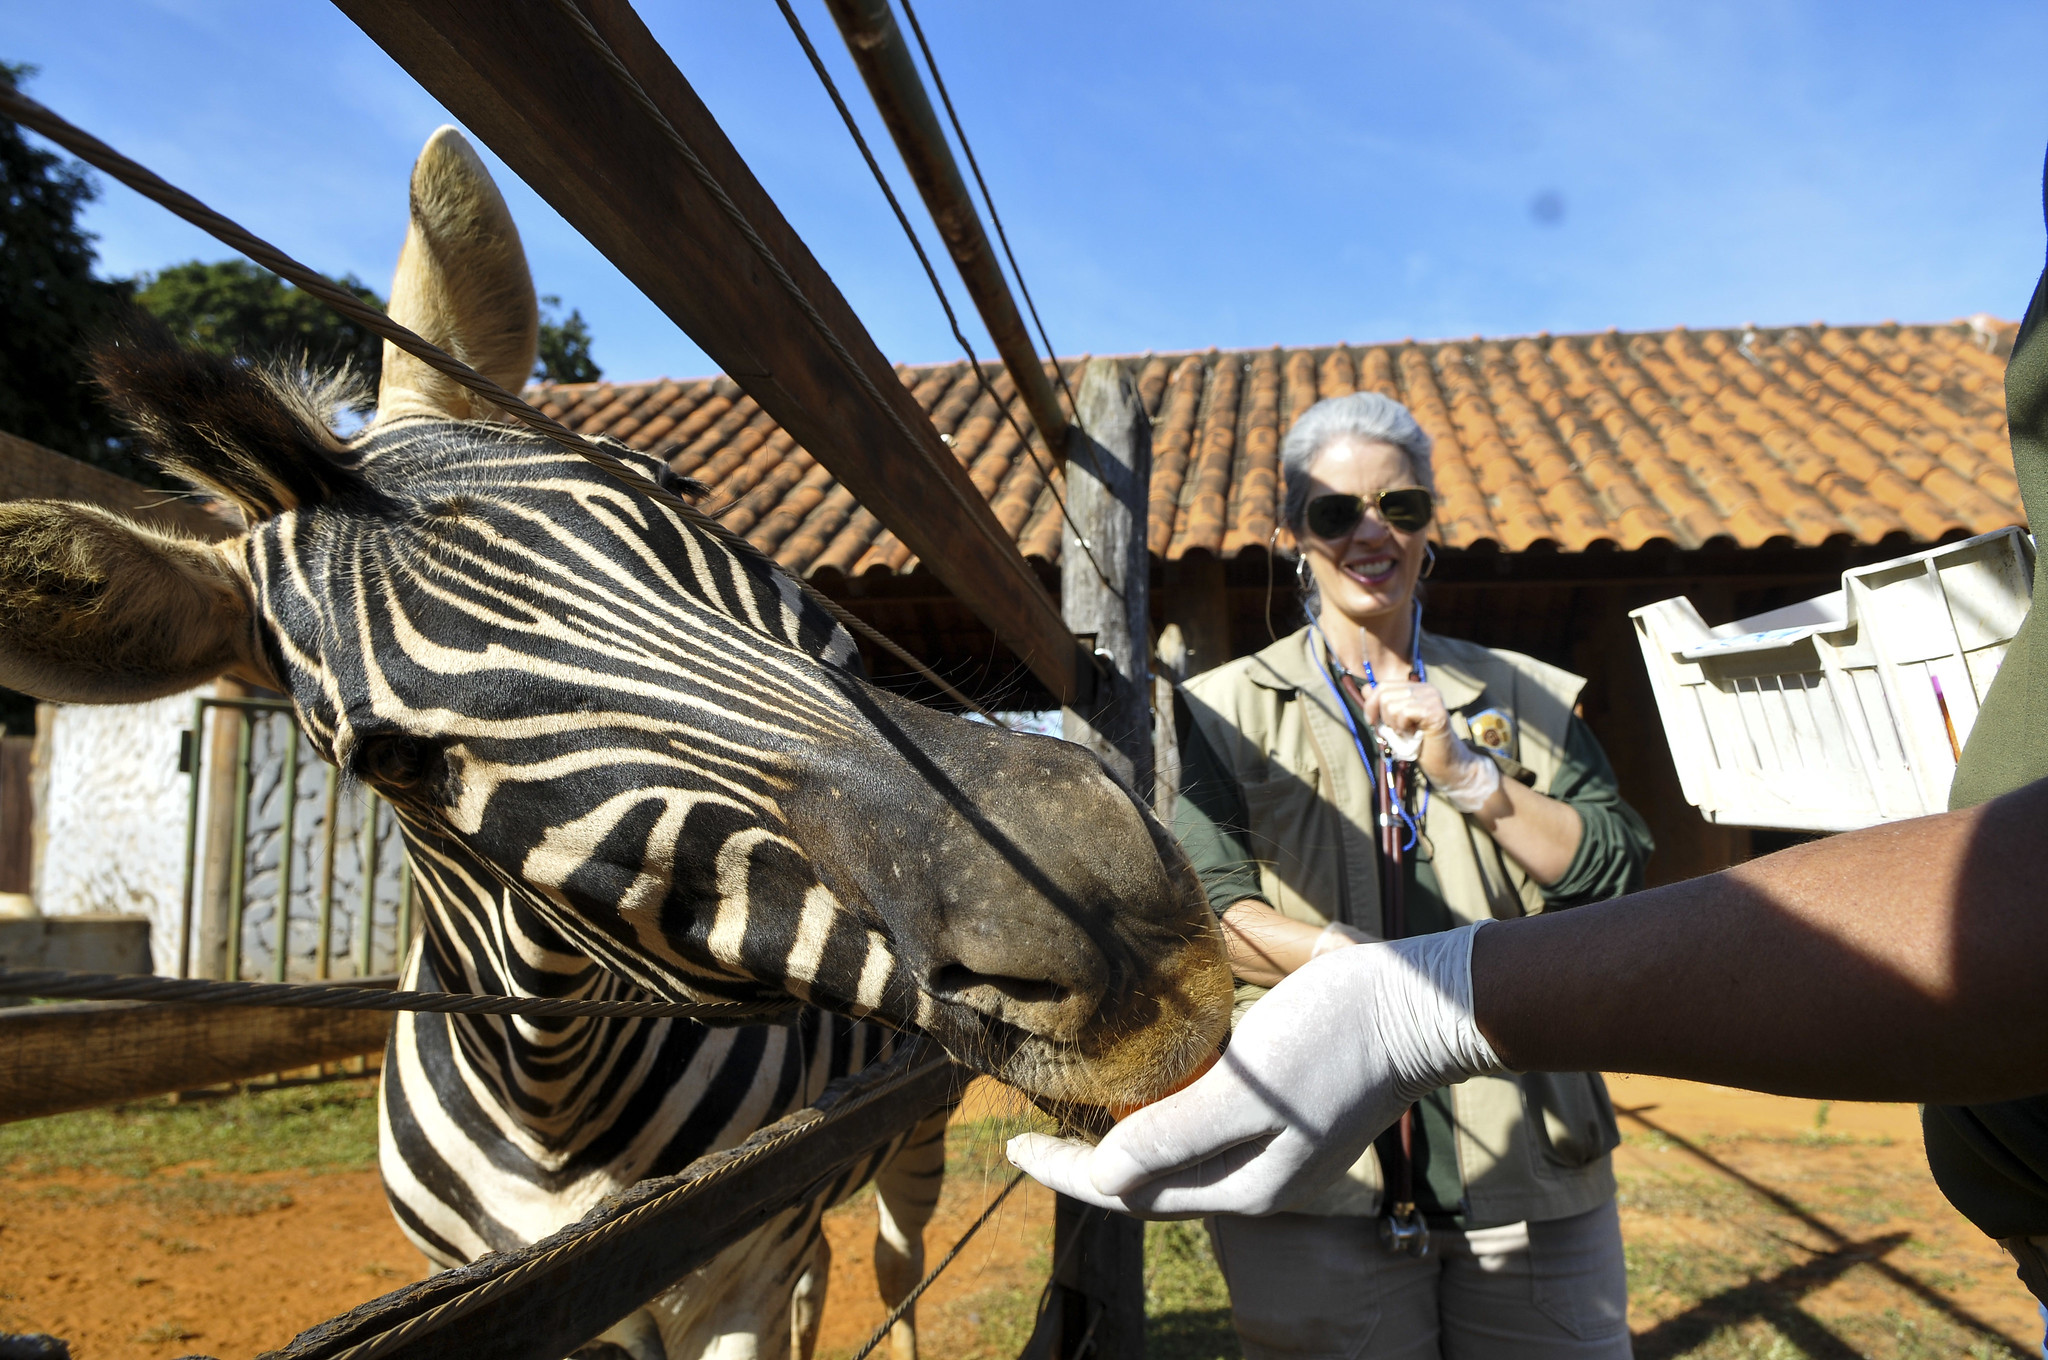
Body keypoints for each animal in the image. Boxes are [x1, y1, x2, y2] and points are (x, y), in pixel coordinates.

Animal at [0, 127, 1220, 1360]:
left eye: (668, 483)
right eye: (388, 761)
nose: (1126, 926)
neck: (552, 1102)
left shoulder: (737, 1268)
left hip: (908, 1139)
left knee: (894, 1263)